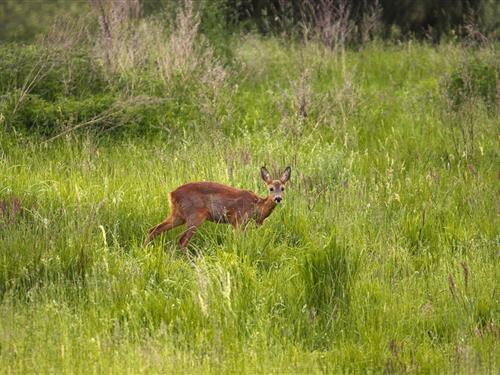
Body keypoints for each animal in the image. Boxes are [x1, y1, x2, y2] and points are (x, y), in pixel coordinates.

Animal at [143, 166, 292, 254]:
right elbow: (238, 241)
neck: (256, 207)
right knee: (182, 239)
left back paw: (145, 251)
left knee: (154, 229)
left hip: (178, 215)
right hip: (195, 215)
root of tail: (172, 194)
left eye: (283, 188)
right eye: (271, 188)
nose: (278, 198)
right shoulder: (238, 220)